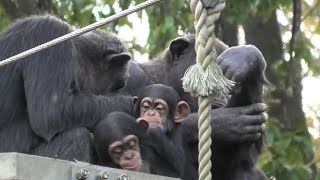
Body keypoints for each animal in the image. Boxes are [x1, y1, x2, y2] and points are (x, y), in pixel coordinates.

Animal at [0, 15, 133, 160]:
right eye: (118, 86)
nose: (121, 89)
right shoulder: (49, 32)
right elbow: (51, 111)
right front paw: (131, 104)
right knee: (77, 136)